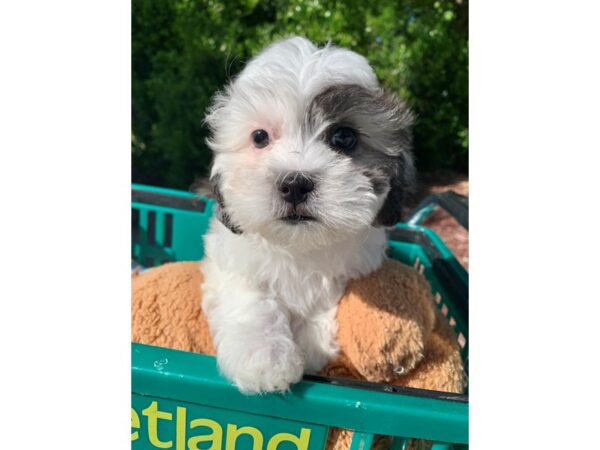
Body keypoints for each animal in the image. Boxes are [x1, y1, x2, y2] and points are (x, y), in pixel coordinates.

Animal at [199, 36, 414, 394]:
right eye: (259, 137)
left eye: (344, 137)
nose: (295, 184)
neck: (300, 245)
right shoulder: (229, 259)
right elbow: (251, 298)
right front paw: (264, 355)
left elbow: (326, 299)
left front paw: (310, 344)